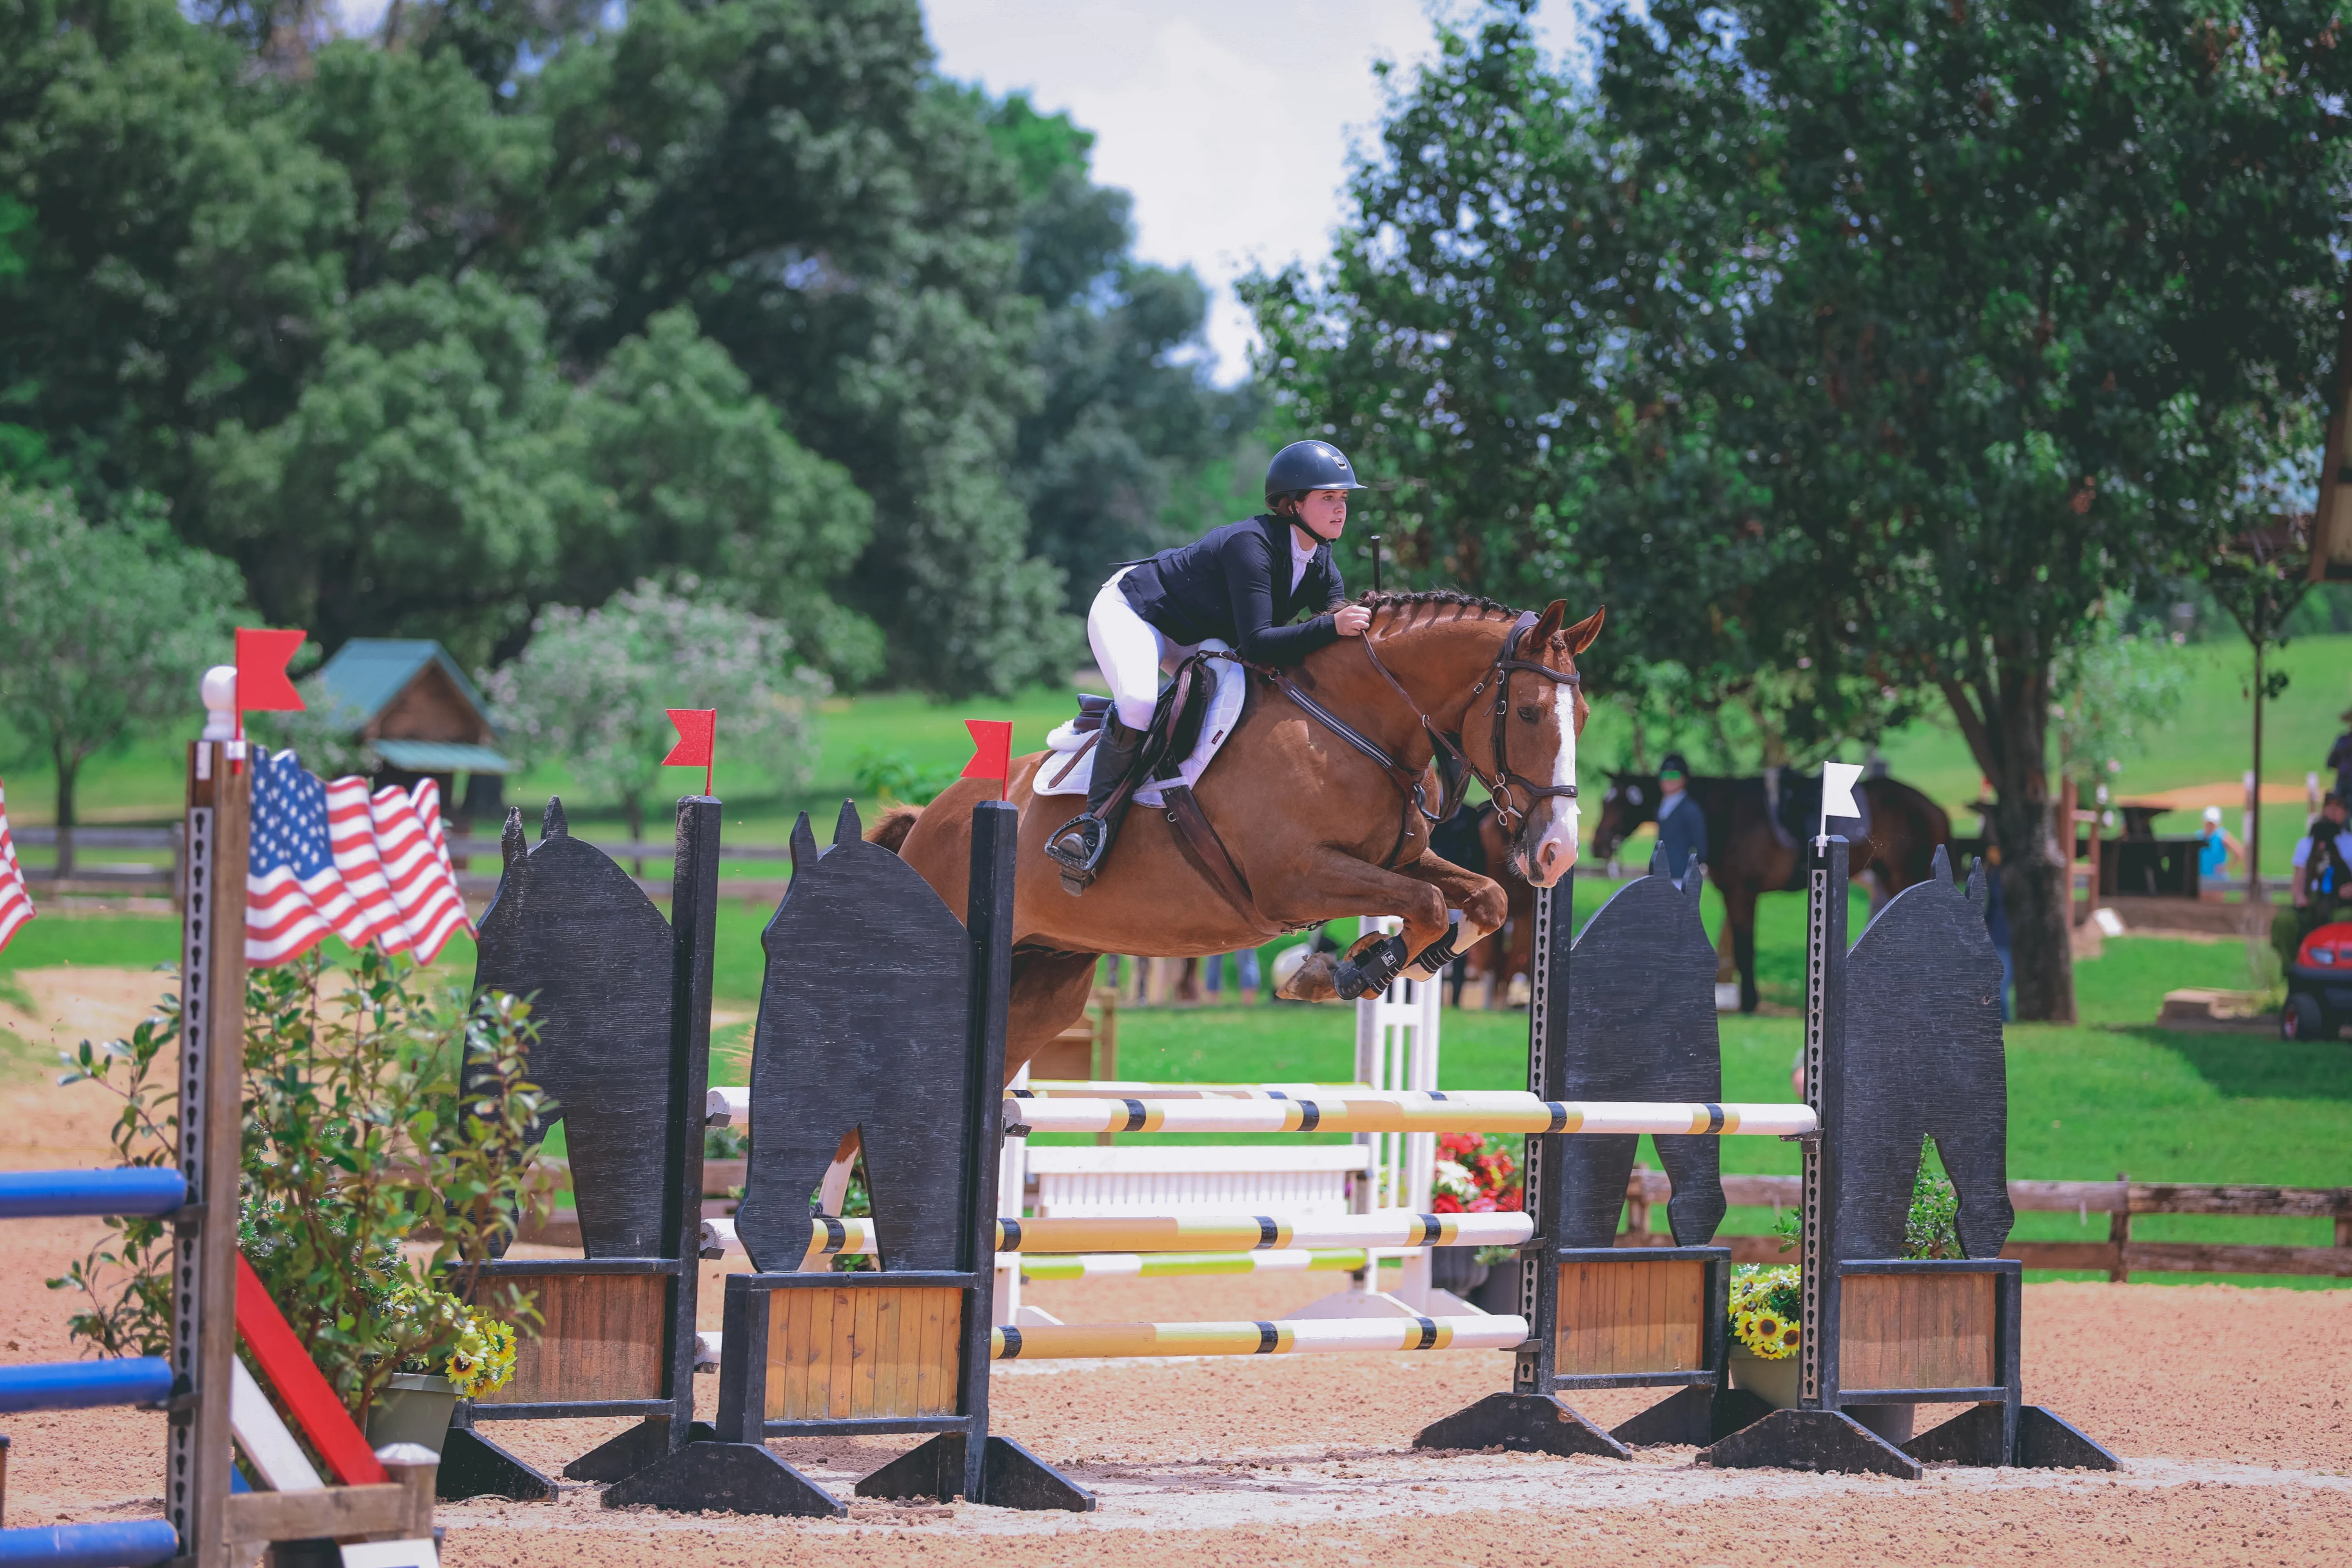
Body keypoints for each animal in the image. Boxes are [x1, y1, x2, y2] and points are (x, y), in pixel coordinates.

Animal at [884, 592, 1618, 1081]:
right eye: (1529, 713)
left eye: (1583, 714)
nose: (1558, 852)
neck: (1353, 726)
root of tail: (932, 817)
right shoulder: (1294, 880)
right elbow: (1432, 905)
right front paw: (1334, 973)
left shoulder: (1402, 858)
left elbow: (1482, 899)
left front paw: (1380, 965)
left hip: (1048, 976)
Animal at [1590, 776, 1957, 1020]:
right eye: (1605, 801)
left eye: (1621, 801)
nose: (1598, 846)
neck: (1725, 814)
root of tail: (1936, 808)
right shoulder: (1734, 893)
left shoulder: (1743, 893)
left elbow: (1745, 947)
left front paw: (1750, 1003)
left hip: (1904, 876)